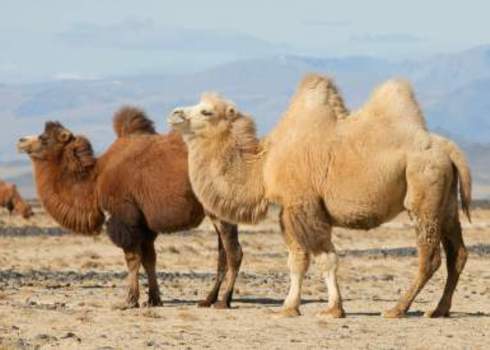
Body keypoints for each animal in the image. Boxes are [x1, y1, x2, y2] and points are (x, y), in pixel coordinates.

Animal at [17, 107, 243, 308]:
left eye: (43, 138)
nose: (20, 141)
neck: (95, 180)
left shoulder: (124, 215)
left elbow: (132, 258)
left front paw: (129, 300)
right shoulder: (144, 223)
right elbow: (150, 259)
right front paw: (154, 300)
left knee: (234, 253)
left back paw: (223, 301)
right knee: (223, 253)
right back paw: (208, 300)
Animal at [168, 74, 470, 320]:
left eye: (206, 111)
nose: (175, 113)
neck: (263, 167)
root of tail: (449, 149)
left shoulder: (305, 205)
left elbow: (325, 258)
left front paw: (333, 309)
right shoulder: (288, 210)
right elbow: (297, 260)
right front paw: (289, 307)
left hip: (423, 191)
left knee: (430, 256)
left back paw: (397, 309)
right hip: (446, 203)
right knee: (458, 253)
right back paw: (439, 309)